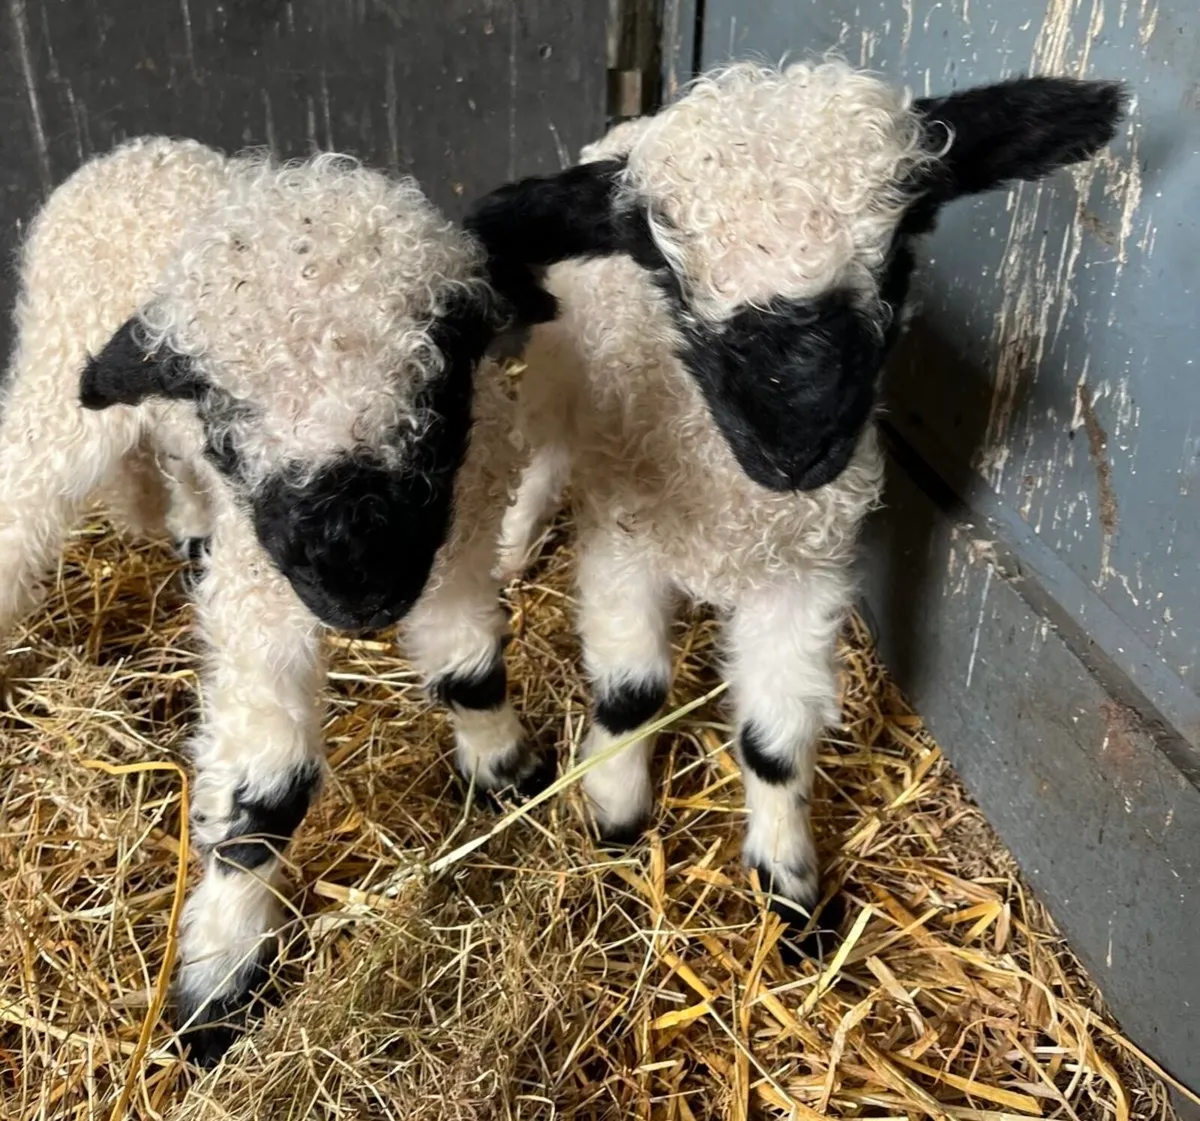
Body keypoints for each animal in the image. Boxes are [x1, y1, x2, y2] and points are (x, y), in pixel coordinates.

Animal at [0, 137, 553, 1065]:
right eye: (227, 420)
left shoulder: (459, 539)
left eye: (438, 391)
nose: (358, 591)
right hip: (60, 382)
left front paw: (509, 774)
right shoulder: (263, 602)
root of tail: (127, 154)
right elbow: (266, 796)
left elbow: (470, 669)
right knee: (21, 498)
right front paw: (216, 987)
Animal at [465, 62, 1125, 956]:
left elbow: (774, 743)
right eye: (660, 267)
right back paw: (509, 548)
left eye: (899, 254)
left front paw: (792, 891)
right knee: (543, 454)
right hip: (561, 371)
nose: (798, 445)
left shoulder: (805, 572)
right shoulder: (624, 544)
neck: (733, 502)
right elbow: (632, 694)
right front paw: (616, 815)